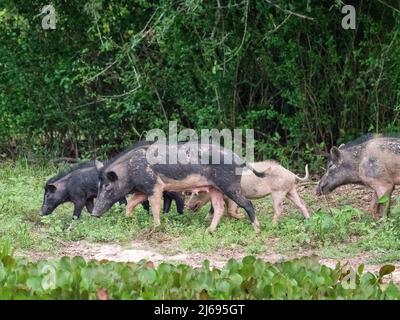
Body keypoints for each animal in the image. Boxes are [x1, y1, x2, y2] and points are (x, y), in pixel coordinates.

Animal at [91, 142, 266, 232]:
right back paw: (209, 231)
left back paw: (257, 229)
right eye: (98, 186)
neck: (129, 170)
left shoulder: (155, 185)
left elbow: (155, 206)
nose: (93, 214)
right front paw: (131, 219)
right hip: (215, 188)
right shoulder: (142, 189)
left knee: (248, 204)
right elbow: (132, 204)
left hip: (230, 184)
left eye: (107, 186)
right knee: (219, 207)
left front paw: (156, 227)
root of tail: (240, 159)